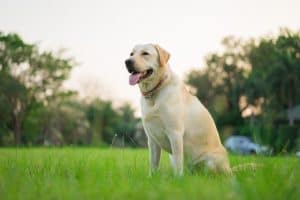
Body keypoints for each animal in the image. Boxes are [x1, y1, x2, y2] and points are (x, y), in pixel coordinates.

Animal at [123, 43, 230, 175]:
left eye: (145, 53)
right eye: (131, 54)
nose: (127, 61)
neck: (155, 92)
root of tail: (231, 170)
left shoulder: (175, 133)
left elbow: (179, 163)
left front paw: (178, 178)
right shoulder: (152, 139)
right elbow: (153, 164)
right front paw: (151, 177)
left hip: (210, 161)